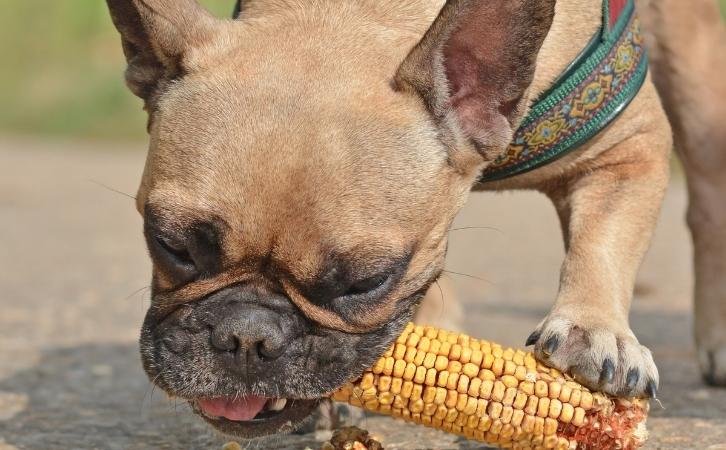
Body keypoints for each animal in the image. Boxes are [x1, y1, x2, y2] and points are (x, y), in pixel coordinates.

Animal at [105, 0, 724, 440]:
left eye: (365, 282)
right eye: (172, 246)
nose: (245, 335)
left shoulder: (627, 147)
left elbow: (601, 247)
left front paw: (594, 333)